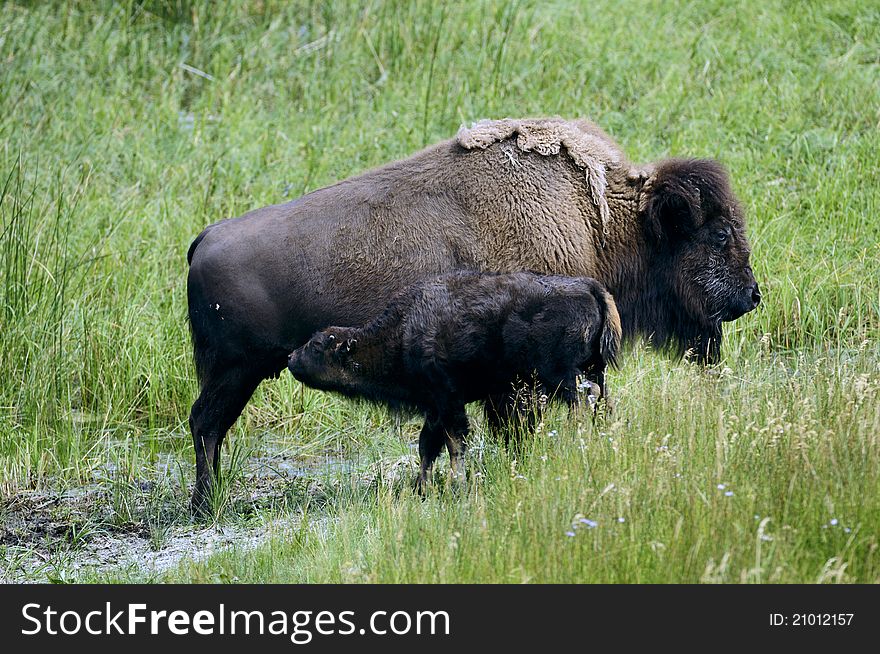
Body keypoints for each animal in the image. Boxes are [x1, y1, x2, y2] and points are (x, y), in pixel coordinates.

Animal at [286, 272, 624, 492]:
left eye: (317, 346)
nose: (291, 357)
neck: (403, 332)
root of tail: (591, 287)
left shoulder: (448, 400)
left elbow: (453, 443)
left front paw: (454, 483)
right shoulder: (435, 408)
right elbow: (427, 446)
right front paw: (421, 487)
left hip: (561, 375)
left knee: (585, 399)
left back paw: (580, 439)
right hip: (594, 368)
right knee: (603, 399)